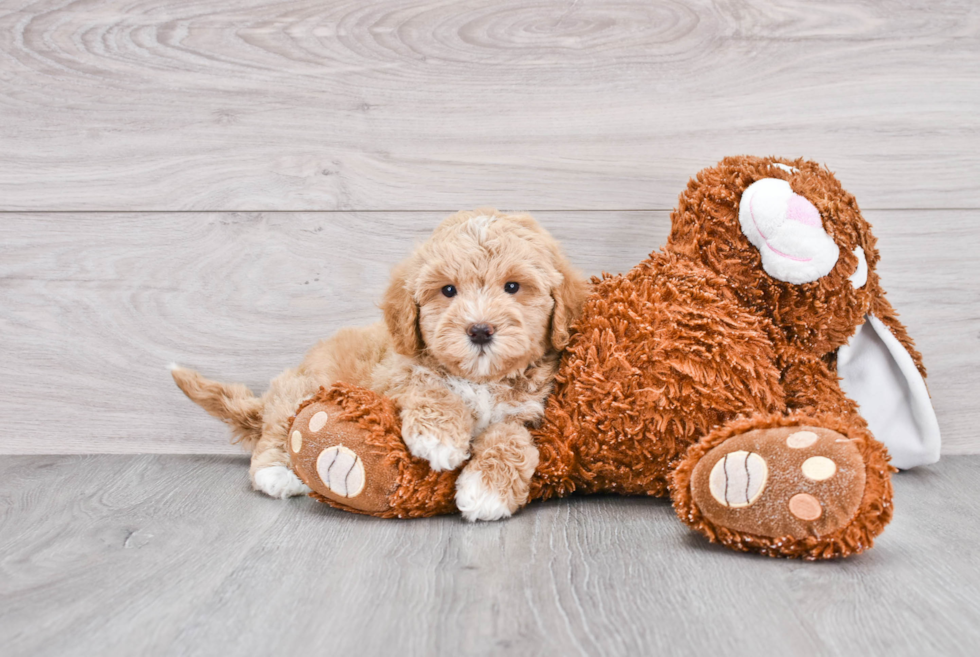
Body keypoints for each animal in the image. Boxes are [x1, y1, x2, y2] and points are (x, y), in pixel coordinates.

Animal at [172, 208, 584, 520]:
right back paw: (276, 472)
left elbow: (511, 439)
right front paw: (439, 439)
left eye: (513, 287)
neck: (480, 379)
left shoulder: (528, 414)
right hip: (300, 388)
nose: (480, 330)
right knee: (276, 431)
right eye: (448, 290)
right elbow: (430, 387)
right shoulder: (395, 374)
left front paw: (486, 491)